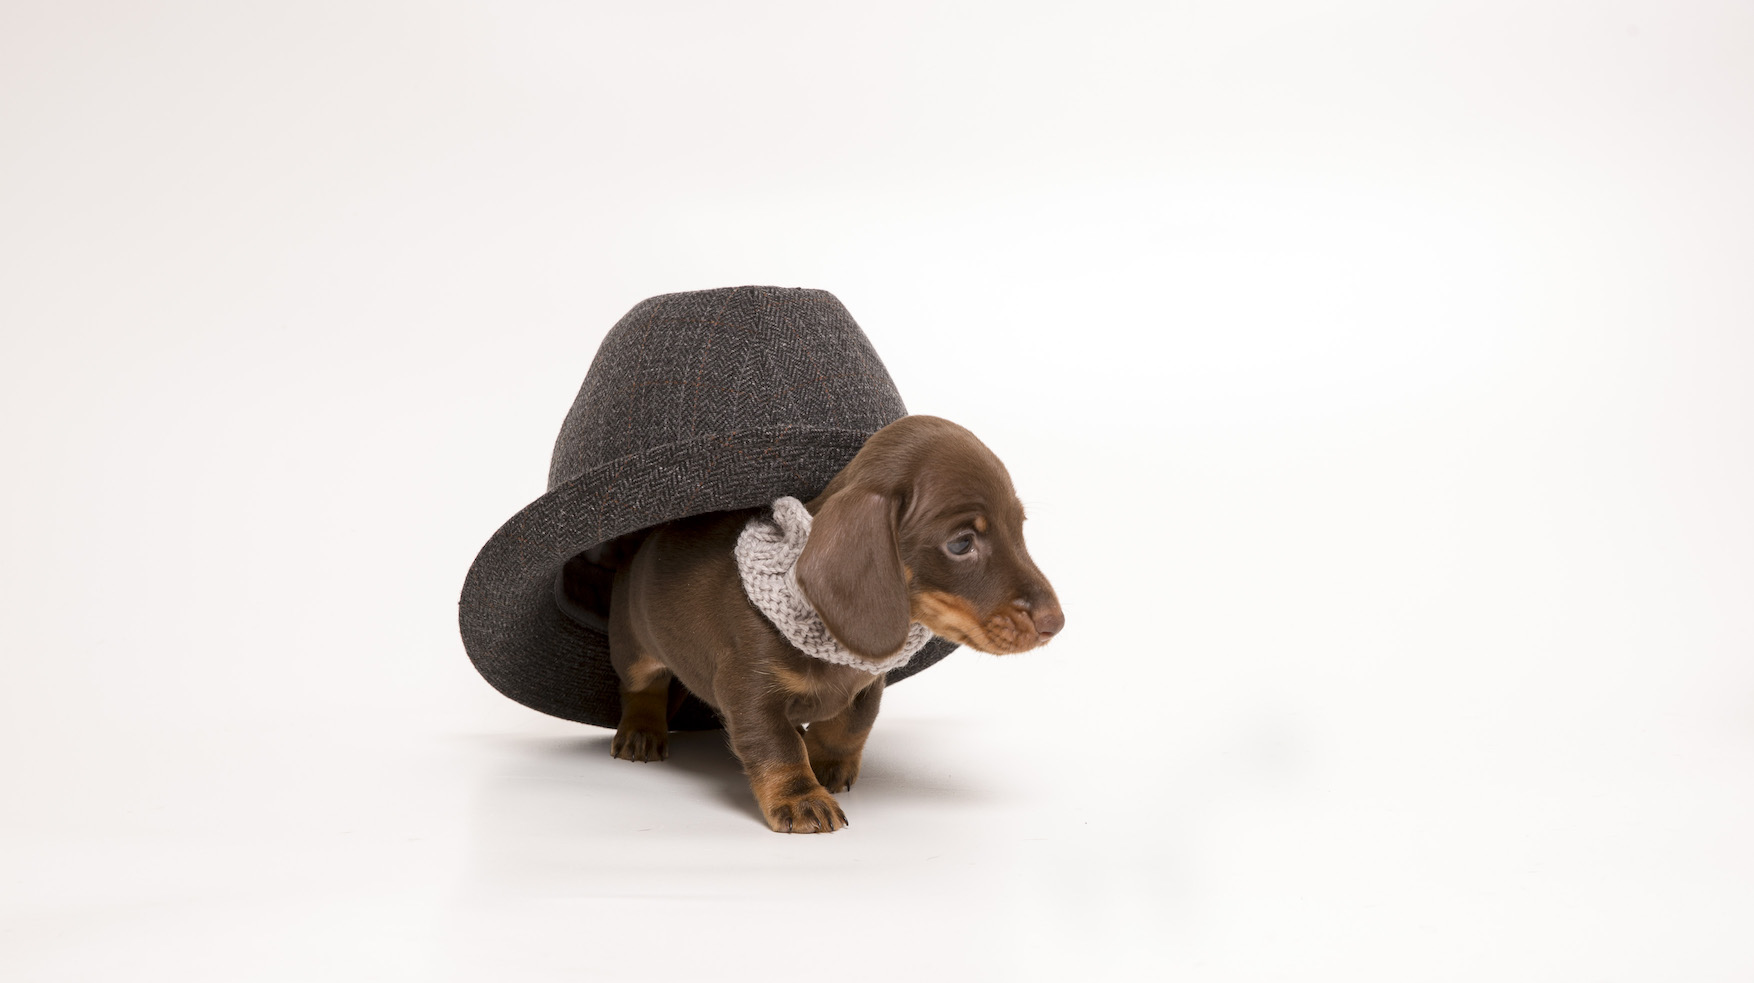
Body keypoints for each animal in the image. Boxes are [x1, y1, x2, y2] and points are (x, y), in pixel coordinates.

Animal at [604, 414, 1063, 832]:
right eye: (961, 543)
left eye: (1019, 528)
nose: (1055, 624)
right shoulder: (747, 689)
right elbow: (777, 745)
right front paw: (801, 797)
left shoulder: (867, 686)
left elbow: (849, 727)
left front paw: (826, 764)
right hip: (632, 648)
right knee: (641, 687)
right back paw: (641, 731)